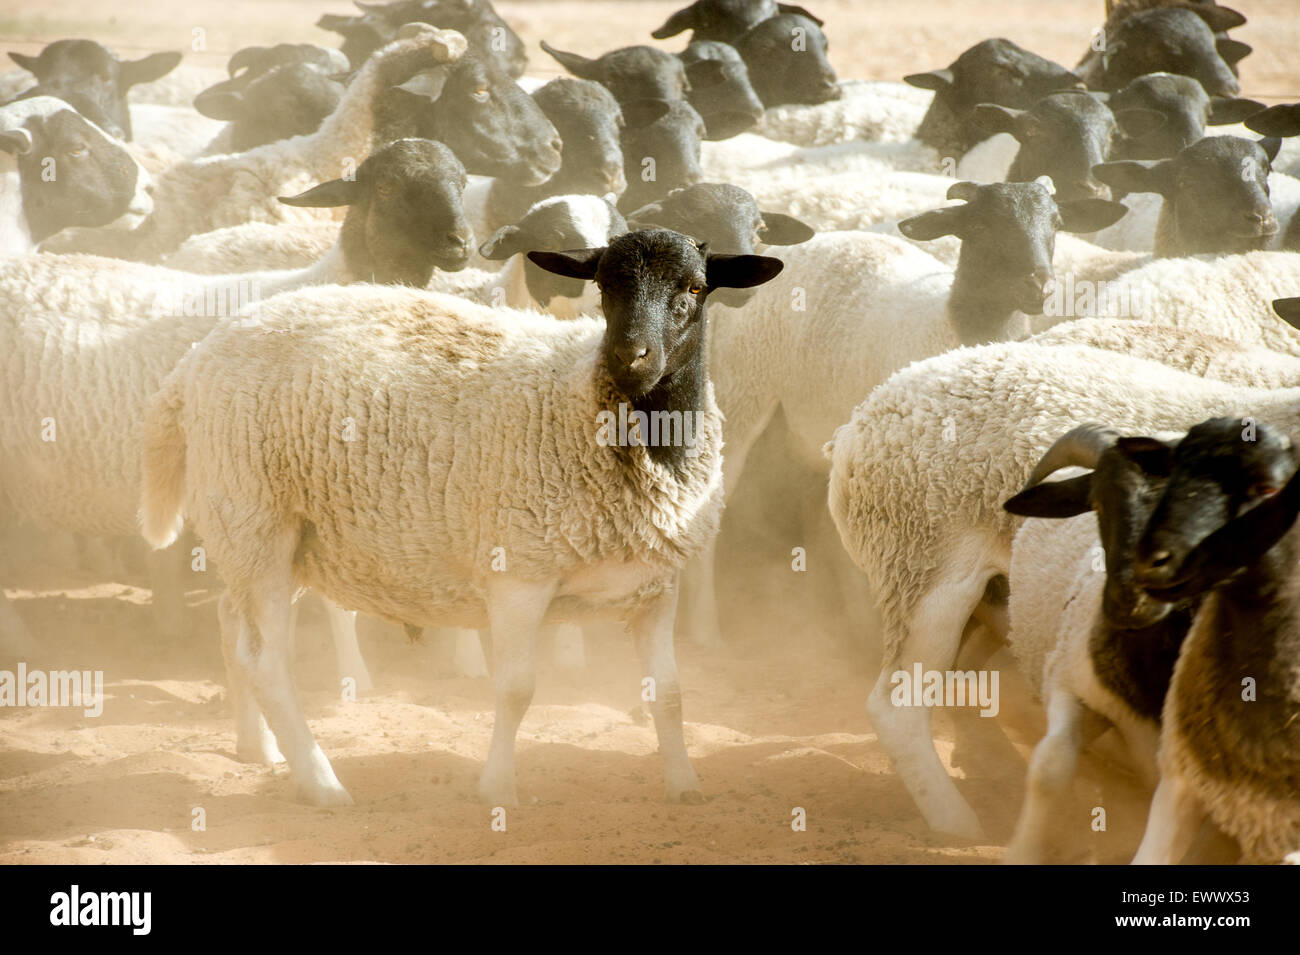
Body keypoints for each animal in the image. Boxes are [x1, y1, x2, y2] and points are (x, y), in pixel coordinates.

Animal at [138, 231, 780, 805]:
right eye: (603, 285)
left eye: (694, 288)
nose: (632, 357)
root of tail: (190, 365)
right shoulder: (519, 574)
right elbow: (517, 691)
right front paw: (498, 788)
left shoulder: (656, 588)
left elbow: (668, 694)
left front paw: (685, 785)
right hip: (254, 516)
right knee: (266, 662)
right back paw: (321, 784)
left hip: (272, 535)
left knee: (231, 623)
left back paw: (258, 747)